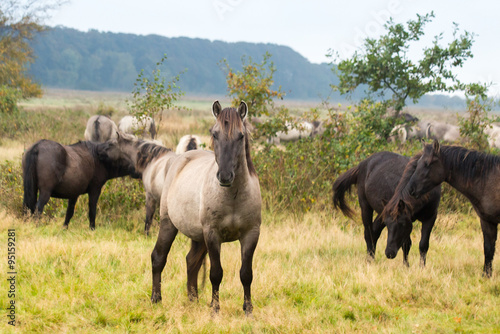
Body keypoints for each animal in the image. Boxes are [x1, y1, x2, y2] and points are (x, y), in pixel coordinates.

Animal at [149, 102, 262, 316]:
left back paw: (193, 300)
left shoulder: (251, 235)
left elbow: (247, 274)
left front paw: (248, 310)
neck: (233, 197)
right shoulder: (212, 234)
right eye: (215, 134)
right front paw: (215, 310)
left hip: (198, 236)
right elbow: (216, 273)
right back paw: (156, 299)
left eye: (241, 136)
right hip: (169, 225)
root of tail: (178, 160)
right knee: (158, 257)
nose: (225, 176)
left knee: (191, 262)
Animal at [408, 141, 500, 276]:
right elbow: (488, 249)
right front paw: (486, 276)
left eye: (427, 164)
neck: (489, 181)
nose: (411, 189)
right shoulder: (487, 221)